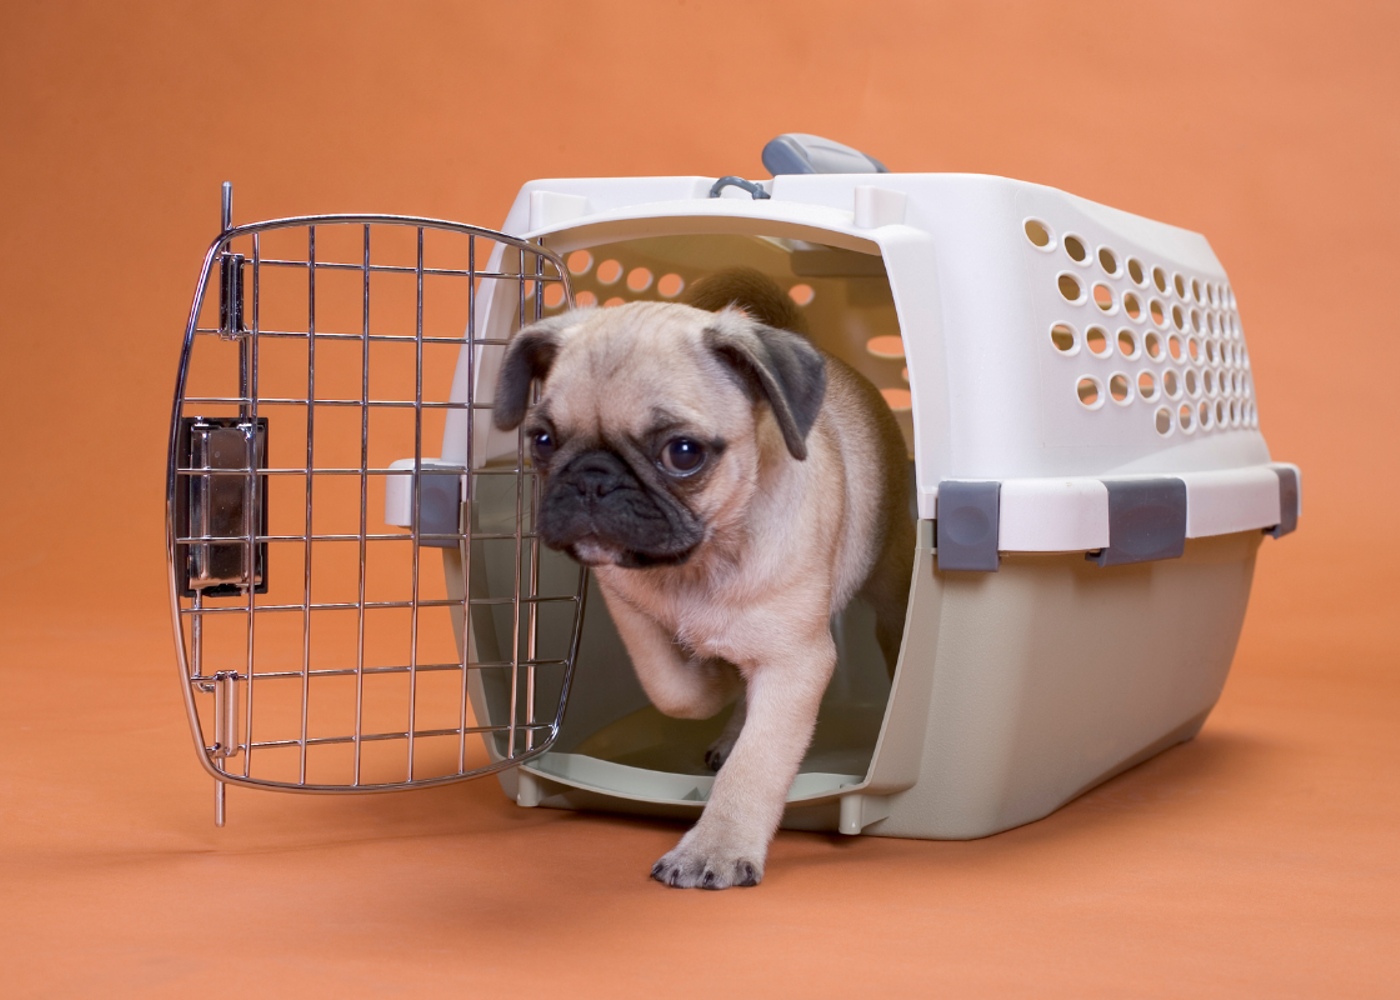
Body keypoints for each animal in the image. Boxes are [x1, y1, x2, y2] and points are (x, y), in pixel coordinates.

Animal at [495, 267, 918, 890]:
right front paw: (713, 677)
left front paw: (715, 847)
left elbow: (756, 764)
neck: (699, 562)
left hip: (889, 587)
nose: (593, 479)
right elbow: (675, 690)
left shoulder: (796, 661)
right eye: (542, 440)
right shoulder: (629, 610)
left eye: (684, 453)